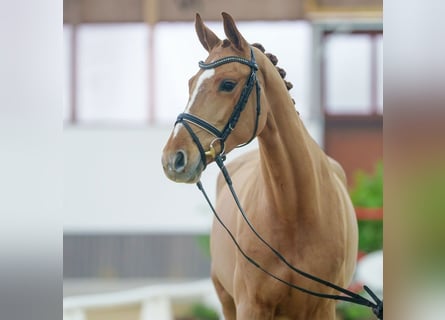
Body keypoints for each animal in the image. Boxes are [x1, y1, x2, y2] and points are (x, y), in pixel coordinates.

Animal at [162, 11, 358, 318]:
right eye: (191, 83)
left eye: (227, 84)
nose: (173, 158)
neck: (296, 212)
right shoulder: (250, 305)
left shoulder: (323, 308)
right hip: (226, 300)